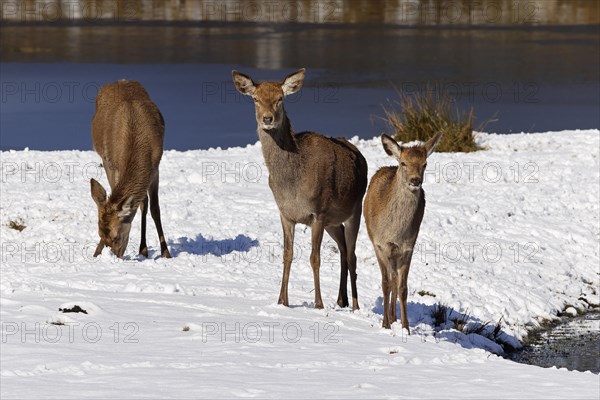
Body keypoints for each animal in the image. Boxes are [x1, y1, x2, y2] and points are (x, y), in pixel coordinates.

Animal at [90, 79, 172, 260]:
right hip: (104, 160)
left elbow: (154, 208)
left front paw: (165, 253)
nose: (115, 257)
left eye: (116, 237)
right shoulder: (113, 165)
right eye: (100, 235)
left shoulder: (155, 167)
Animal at [232, 69, 368, 310]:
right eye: (255, 99)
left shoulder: (318, 212)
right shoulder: (286, 213)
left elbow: (315, 258)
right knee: (343, 248)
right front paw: (282, 301)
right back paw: (340, 299)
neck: (292, 182)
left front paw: (318, 304)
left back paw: (354, 305)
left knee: (352, 254)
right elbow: (287, 254)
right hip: (333, 222)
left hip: (355, 209)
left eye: (280, 99)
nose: (267, 119)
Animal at [364, 133, 442, 330]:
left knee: (395, 279)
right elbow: (385, 284)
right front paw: (385, 324)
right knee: (390, 279)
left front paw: (405, 327)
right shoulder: (380, 245)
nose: (415, 181)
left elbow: (402, 287)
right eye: (404, 163)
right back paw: (389, 318)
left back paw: (393, 317)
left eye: (425, 164)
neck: (395, 232)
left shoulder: (408, 247)